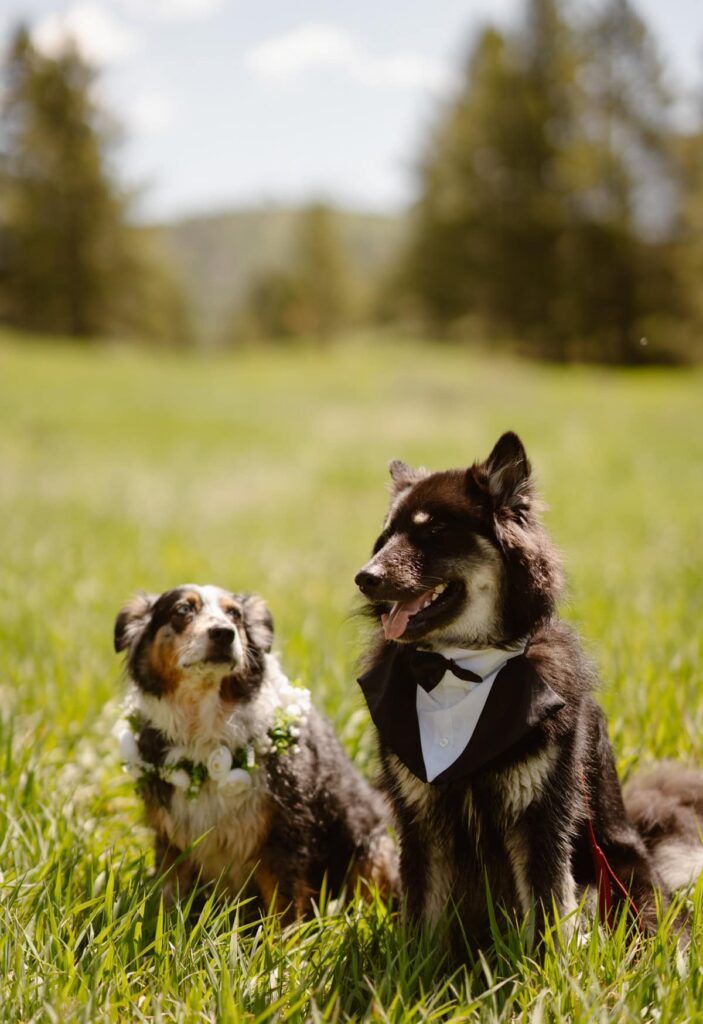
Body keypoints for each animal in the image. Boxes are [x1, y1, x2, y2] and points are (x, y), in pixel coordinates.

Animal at [116, 589, 401, 917]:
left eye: (235, 615)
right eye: (183, 610)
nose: (223, 633)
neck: (205, 729)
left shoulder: (283, 832)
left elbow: (284, 908)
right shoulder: (172, 839)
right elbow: (170, 899)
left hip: (371, 849)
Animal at [358, 430, 703, 942]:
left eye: (434, 532)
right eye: (386, 537)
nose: (365, 578)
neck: (459, 664)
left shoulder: (540, 817)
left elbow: (548, 914)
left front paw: (547, 963)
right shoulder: (421, 818)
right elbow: (423, 919)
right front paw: (412, 962)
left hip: (624, 872)